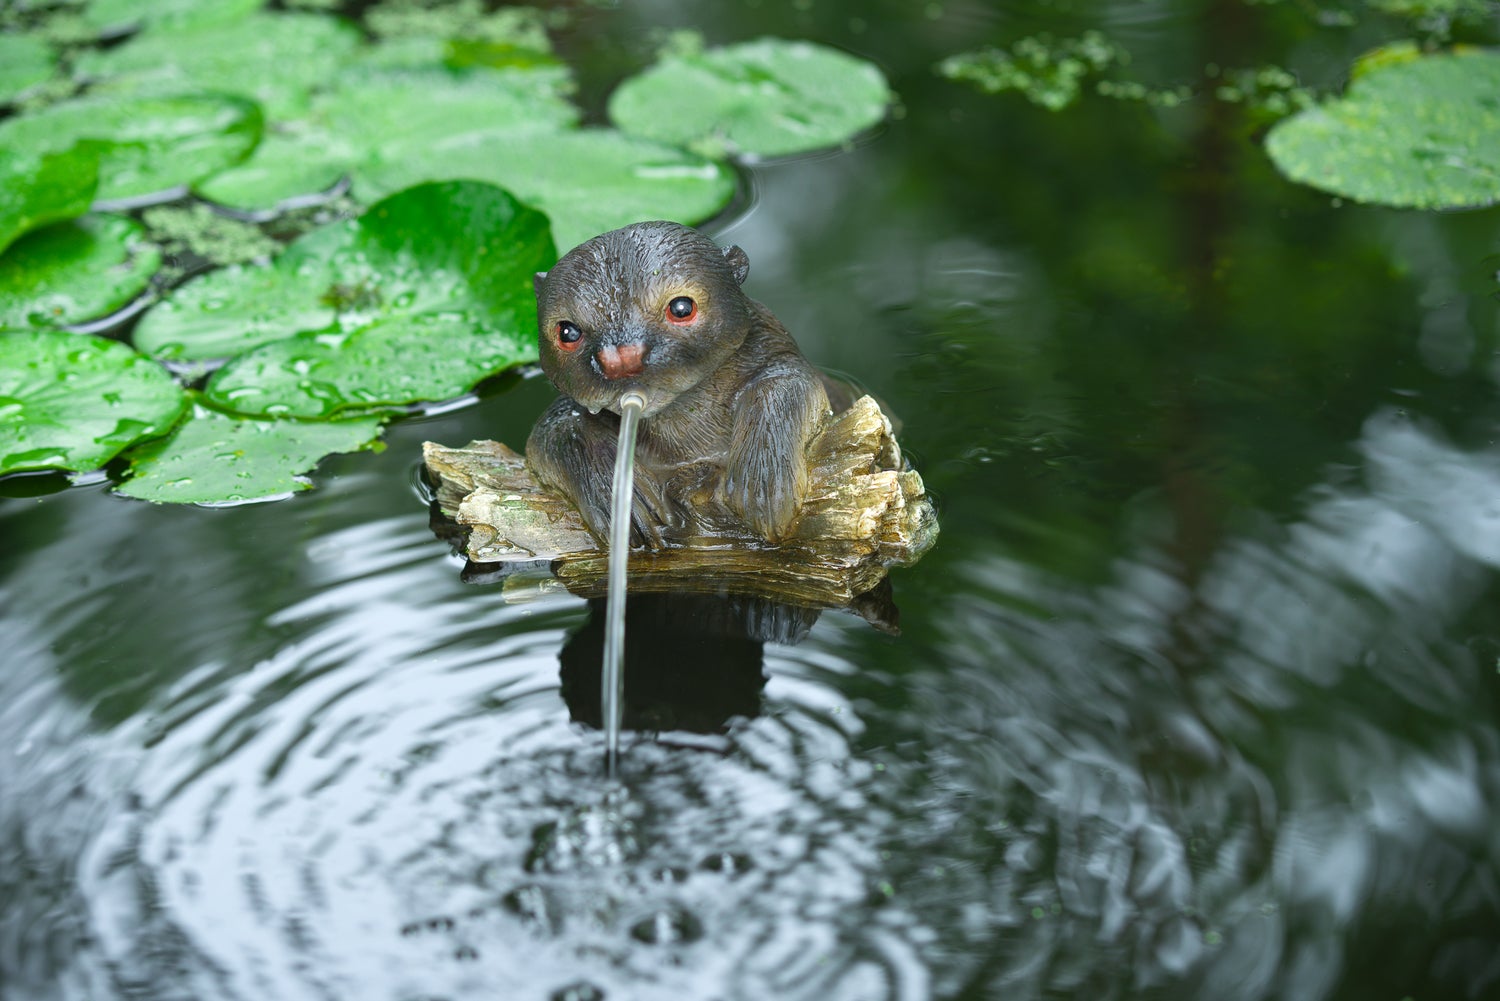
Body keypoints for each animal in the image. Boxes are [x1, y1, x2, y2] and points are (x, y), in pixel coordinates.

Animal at [526, 221, 845, 548]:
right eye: (567, 332)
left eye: (681, 308)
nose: (621, 359)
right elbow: (556, 430)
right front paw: (615, 492)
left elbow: (785, 382)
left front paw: (763, 476)